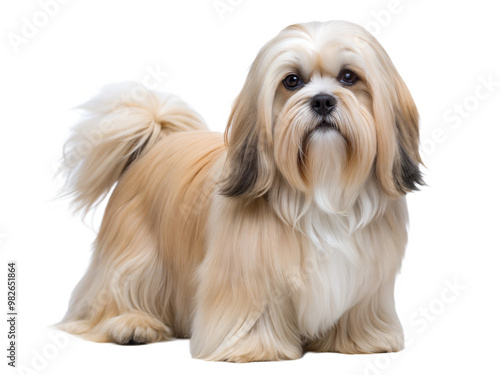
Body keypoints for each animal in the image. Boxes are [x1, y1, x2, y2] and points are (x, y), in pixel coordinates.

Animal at [59, 19, 426, 362]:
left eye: (349, 77)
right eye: (292, 81)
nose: (322, 100)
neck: (321, 186)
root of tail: (155, 142)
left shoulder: (367, 281)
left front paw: (363, 340)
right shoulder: (247, 277)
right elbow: (253, 310)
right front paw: (254, 348)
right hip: (137, 255)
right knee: (114, 293)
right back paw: (133, 324)